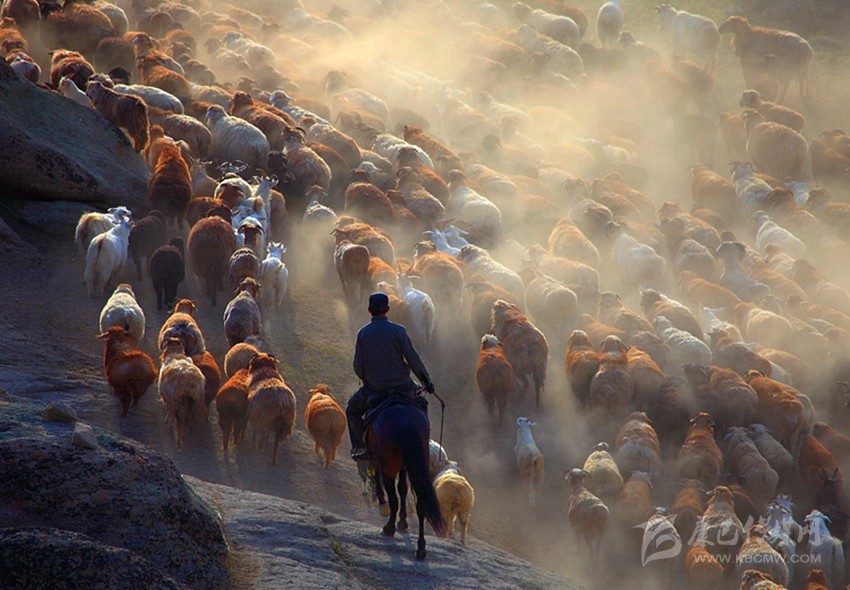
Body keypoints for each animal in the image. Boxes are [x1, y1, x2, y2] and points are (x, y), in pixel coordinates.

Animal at [364, 402, 444, 560]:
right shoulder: (405, 466)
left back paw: (389, 528)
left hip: (390, 465)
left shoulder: (378, 456)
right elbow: (402, 488)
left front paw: (382, 502)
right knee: (421, 505)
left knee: (393, 499)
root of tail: (407, 423)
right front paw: (403, 521)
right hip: (418, 464)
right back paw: (421, 548)